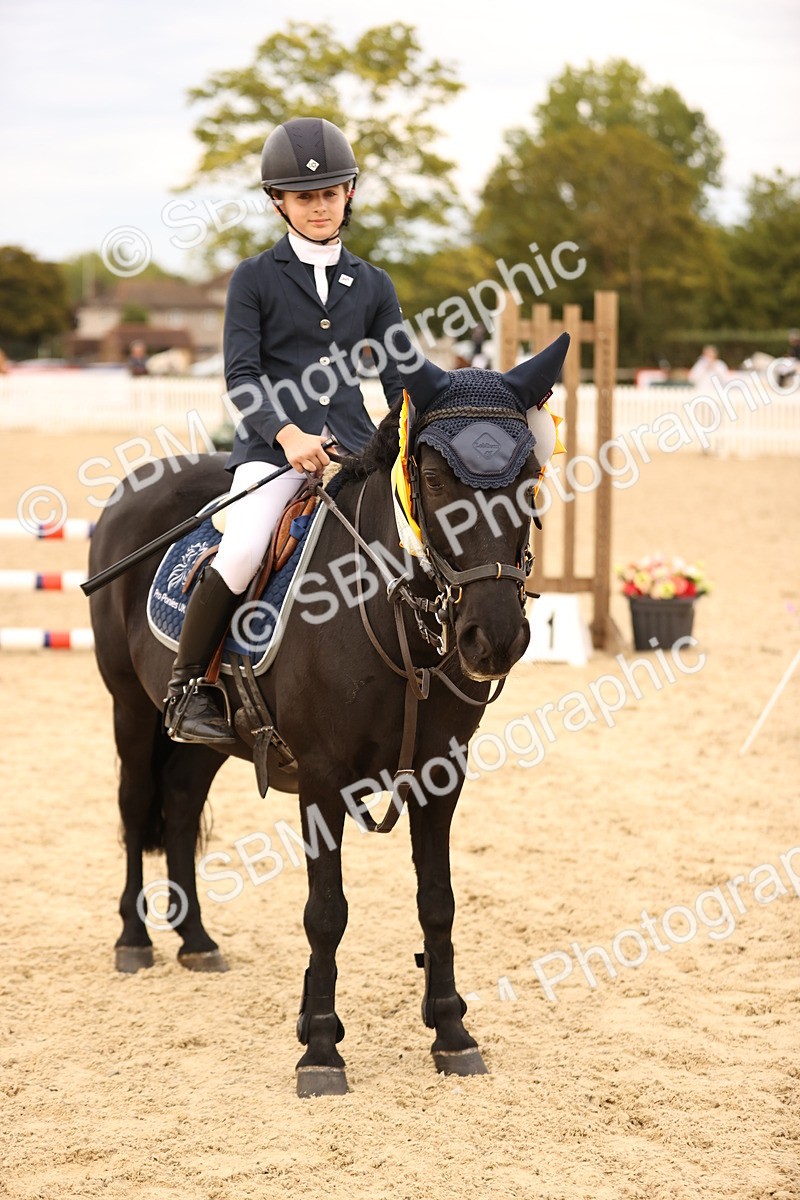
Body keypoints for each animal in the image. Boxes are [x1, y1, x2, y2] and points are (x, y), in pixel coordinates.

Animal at [88, 339, 568, 1096]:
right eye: (434, 478)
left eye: (529, 475)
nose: (494, 638)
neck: (390, 612)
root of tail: (136, 485)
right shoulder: (320, 777)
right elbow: (327, 911)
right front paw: (319, 1047)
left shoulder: (441, 775)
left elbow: (438, 900)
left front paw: (452, 1033)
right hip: (129, 707)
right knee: (137, 804)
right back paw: (134, 942)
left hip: (205, 740)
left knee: (182, 804)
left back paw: (196, 940)